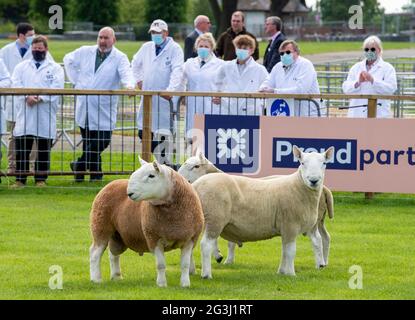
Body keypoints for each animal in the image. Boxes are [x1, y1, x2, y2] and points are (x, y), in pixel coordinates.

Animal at [194, 146, 334, 278]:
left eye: (324, 163)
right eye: (302, 163)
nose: (314, 180)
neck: (298, 186)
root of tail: (196, 184)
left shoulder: (286, 228)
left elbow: (284, 250)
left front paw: (281, 272)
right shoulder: (290, 225)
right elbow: (290, 251)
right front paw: (291, 273)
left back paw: (192, 272)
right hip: (215, 218)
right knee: (205, 245)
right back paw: (206, 274)